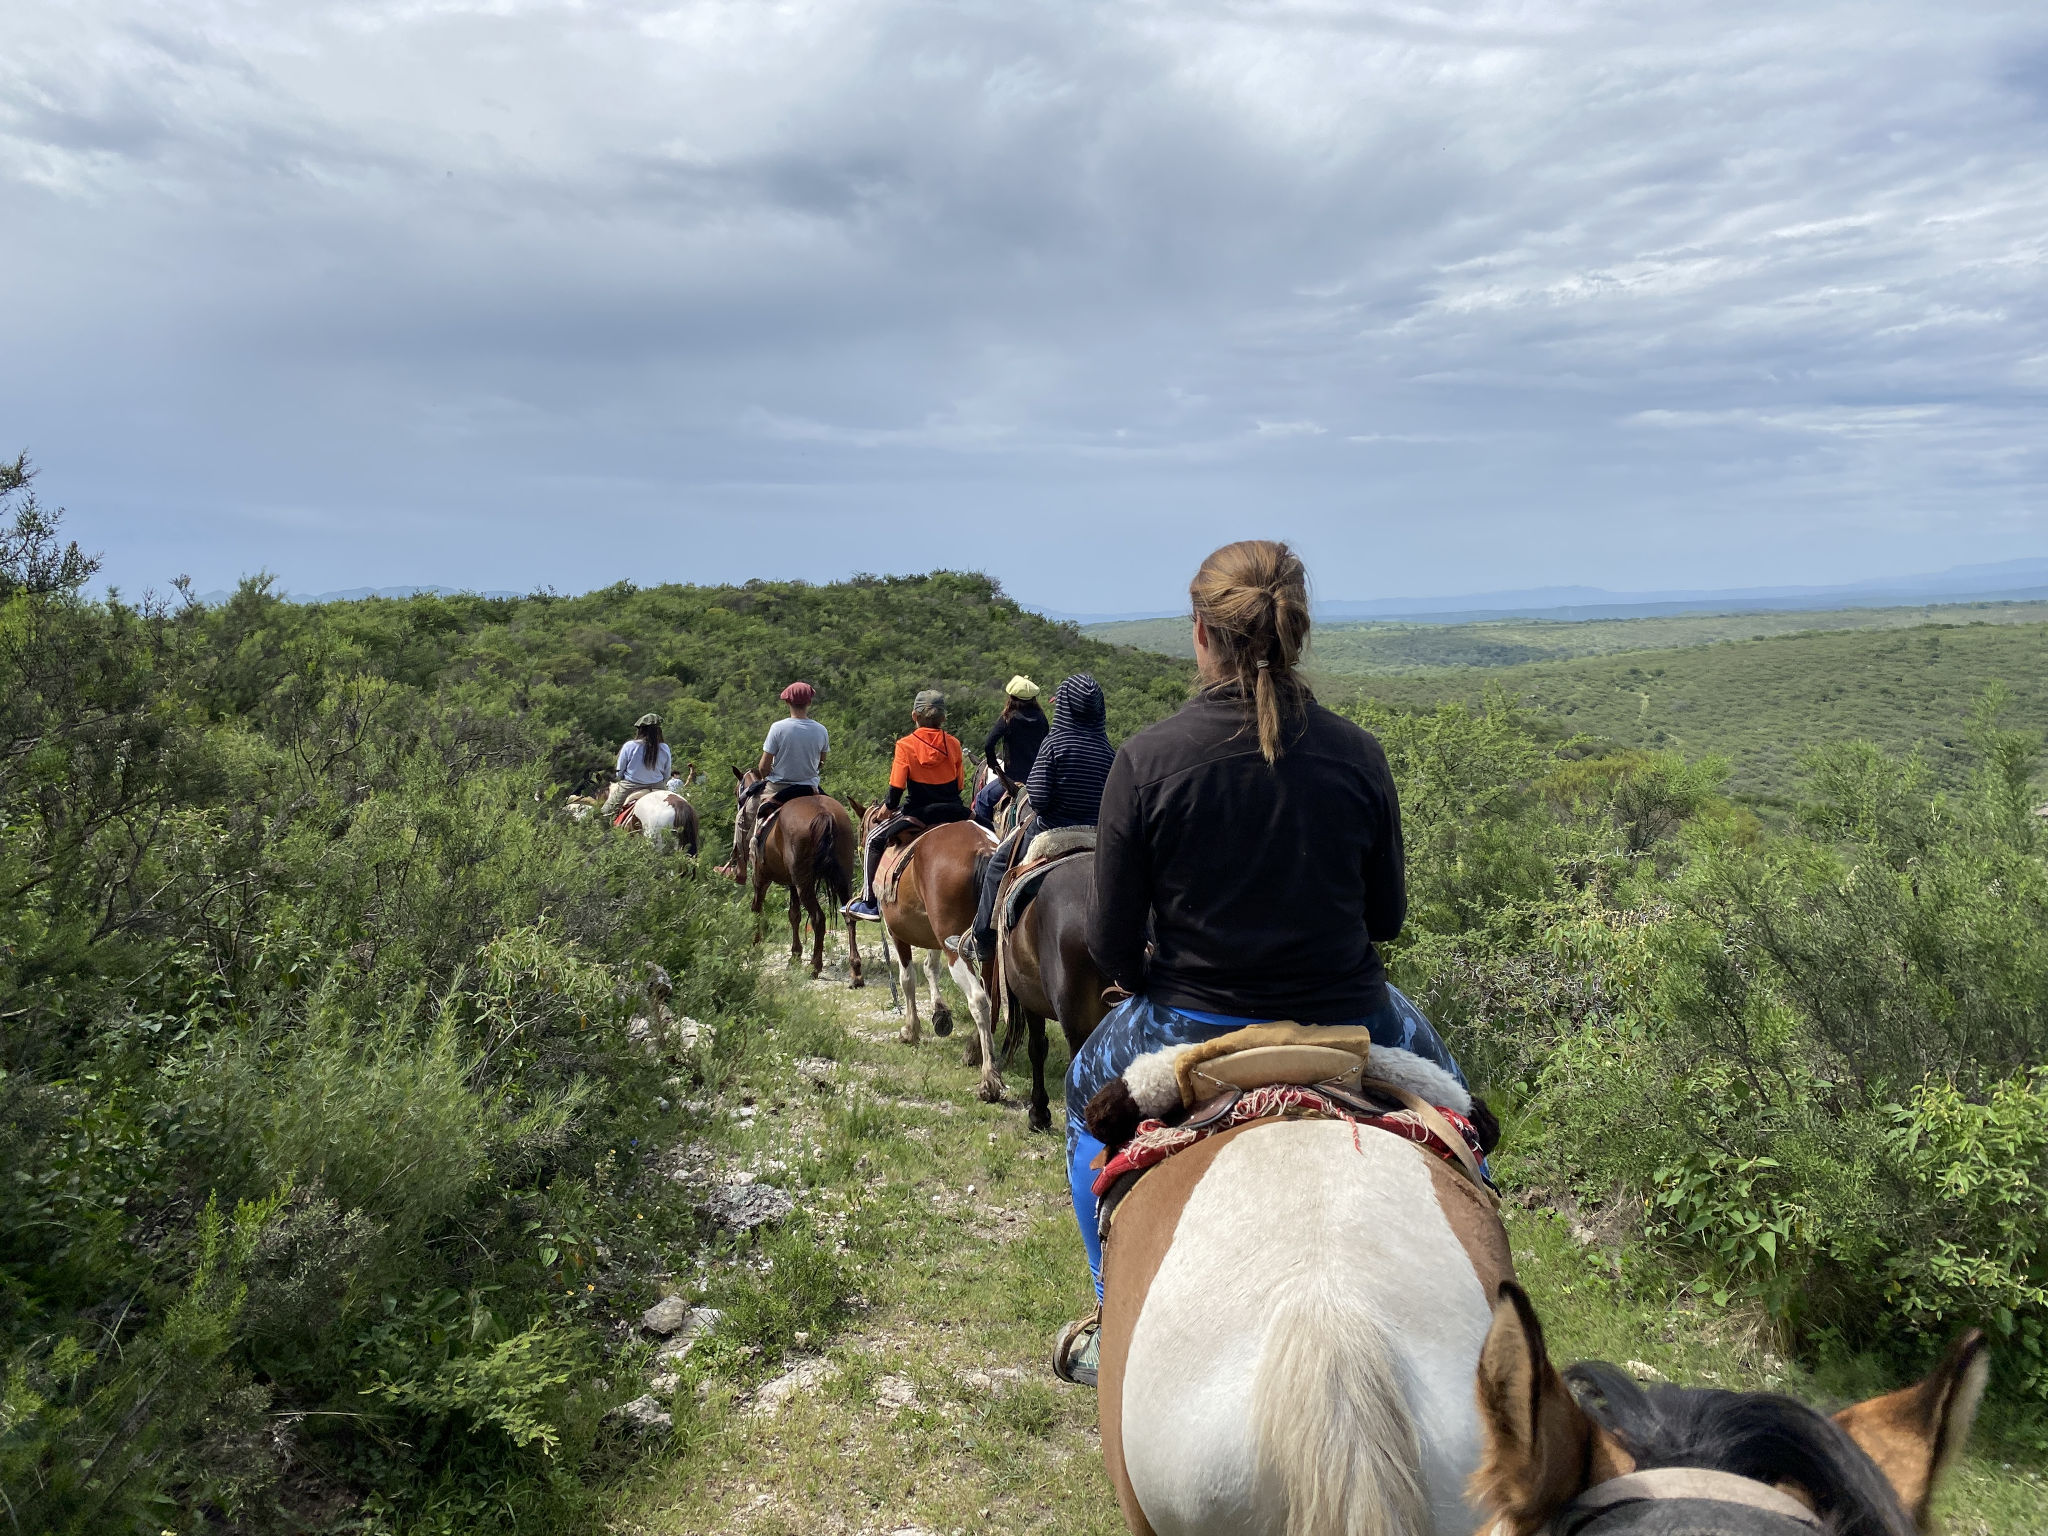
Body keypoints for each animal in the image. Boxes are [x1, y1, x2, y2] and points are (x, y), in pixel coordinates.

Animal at [729, 770, 864, 987]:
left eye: (737, 792)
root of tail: (825, 814)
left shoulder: (760, 878)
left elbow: (757, 910)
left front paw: (756, 948)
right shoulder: (792, 882)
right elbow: (794, 915)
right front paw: (794, 956)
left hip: (804, 882)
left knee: (818, 918)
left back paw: (815, 966)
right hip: (841, 877)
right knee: (848, 915)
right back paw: (856, 971)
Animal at [851, 798, 1003, 1097]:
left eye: (863, 829)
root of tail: (984, 848)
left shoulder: (896, 932)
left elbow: (907, 978)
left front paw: (911, 1030)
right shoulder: (933, 935)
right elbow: (930, 967)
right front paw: (940, 1012)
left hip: (955, 947)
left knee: (979, 1000)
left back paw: (988, 1076)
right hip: (980, 944)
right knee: (992, 997)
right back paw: (975, 1050)